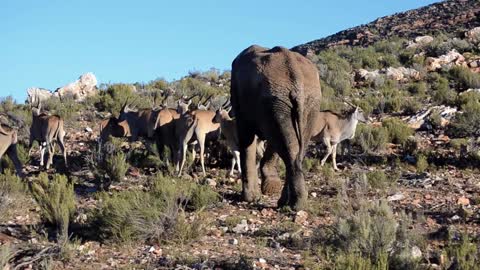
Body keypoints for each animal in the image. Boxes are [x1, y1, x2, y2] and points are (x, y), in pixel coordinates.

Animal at [230, 45, 320, 210]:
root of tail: (295, 73)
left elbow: (247, 138)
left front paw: (250, 198)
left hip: (279, 100)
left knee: (288, 148)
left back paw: (294, 205)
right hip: (305, 102)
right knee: (295, 148)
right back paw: (290, 203)